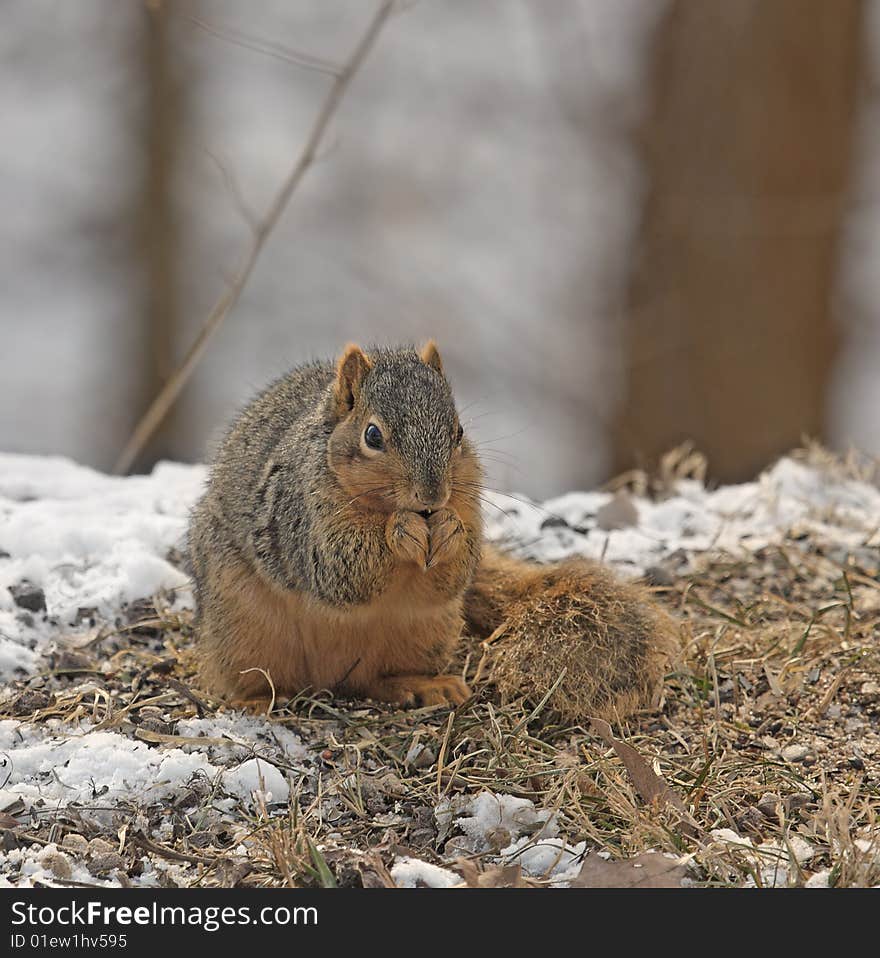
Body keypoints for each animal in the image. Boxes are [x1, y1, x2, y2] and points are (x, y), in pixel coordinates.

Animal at [189, 342, 672, 716]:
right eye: (373, 436)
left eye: (458, 432)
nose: (432, 496)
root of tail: (328, 680)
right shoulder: (296, 514)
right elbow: (336, 567)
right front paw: (399, 531)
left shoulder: (467, 498)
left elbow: (454, 571)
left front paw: (452, 530)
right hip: (244, 629)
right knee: (257, 677)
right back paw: (257, 700)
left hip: (425, 631)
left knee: (377, 679)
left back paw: (423, 685)